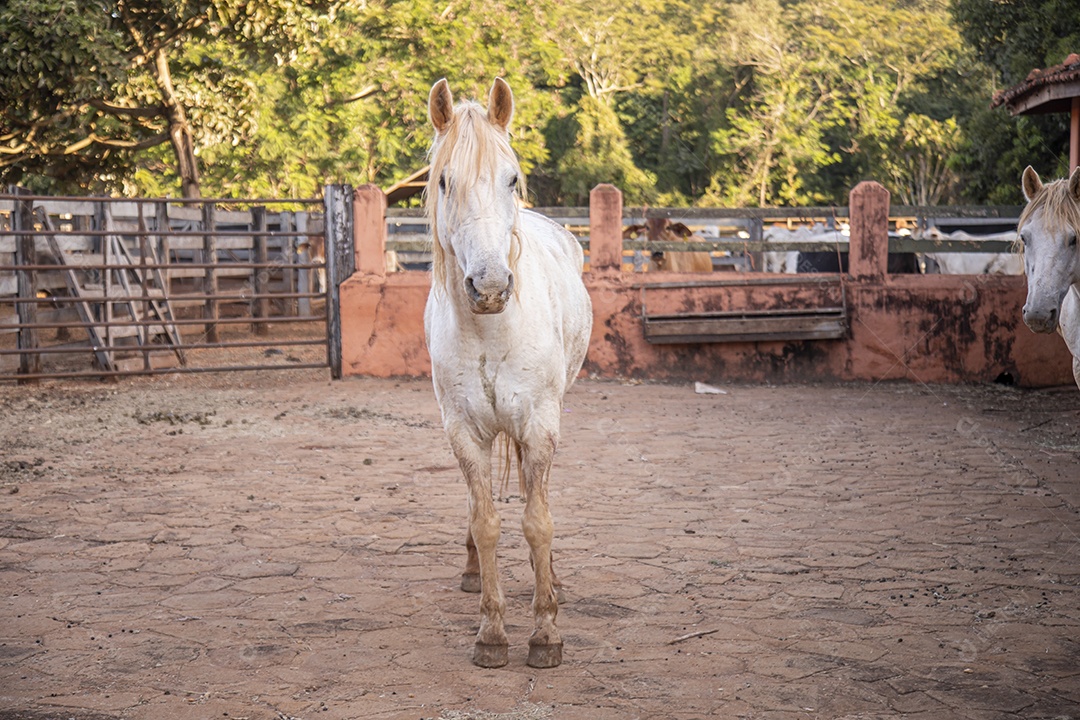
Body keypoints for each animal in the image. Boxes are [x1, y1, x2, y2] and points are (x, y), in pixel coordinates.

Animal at [423, 77, 593, 668]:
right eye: (444, 180)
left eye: (512, 177)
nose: (491, 285)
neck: (491, 330)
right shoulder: (463, 432)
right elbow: (487, 522)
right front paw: (492, 632)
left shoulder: (539, 425)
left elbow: (538, 522)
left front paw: (546, 632)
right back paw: (475, 573)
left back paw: (554, 582)